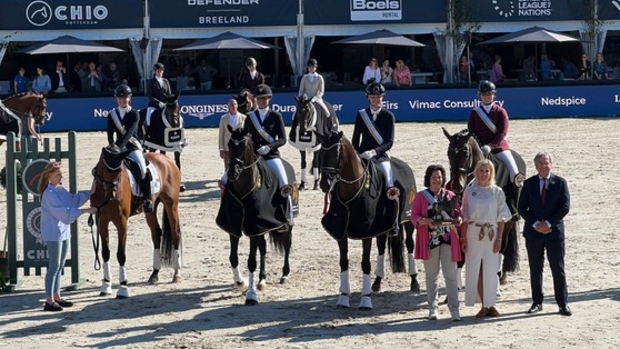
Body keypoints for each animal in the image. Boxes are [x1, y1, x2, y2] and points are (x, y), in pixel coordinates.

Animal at [90, 144, 182, 296]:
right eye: (103, 169)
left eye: (119, 172)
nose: (111, 196)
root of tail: (167, 160)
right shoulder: (101, 222)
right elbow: (105, 253)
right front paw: (106, 286)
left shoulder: (122, 223)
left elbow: (121, 254)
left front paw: (123, 288)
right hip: (151, 208)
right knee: (156, 233)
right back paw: (154, 273)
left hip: (171, 205)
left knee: (175, 234)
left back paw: (177, 273)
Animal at [217, 125, 294, 304]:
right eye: (229, 144)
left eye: (245, 146)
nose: (232, 173)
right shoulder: (236, 226)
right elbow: (233, 258)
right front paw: (242, 283)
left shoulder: (254, 227)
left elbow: (251, 261)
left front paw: (251, 295)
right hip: (263, 227)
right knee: (264, 248)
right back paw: (262, 279)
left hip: (287, 221)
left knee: (287, 243)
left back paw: (285, 274)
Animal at [318, 130, 418, 308]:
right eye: (321, 153)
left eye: (336, 153)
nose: (324, 184)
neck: (352, 189)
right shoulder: (341, 232)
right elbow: (343, 262)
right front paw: (343, 297)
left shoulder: (366, 232)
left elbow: (365, 263)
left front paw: (365, 300)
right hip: (383, 227)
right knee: (381, 247)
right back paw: (377, 281)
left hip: (407, 220)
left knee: (410, 244)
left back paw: (414, 280)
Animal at [444, 126, 524, 284]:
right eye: (449, 153)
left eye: (466, 153)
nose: (456, 186)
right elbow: (462, 252)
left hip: (509, 221)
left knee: (502, 246)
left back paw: (501, 276)